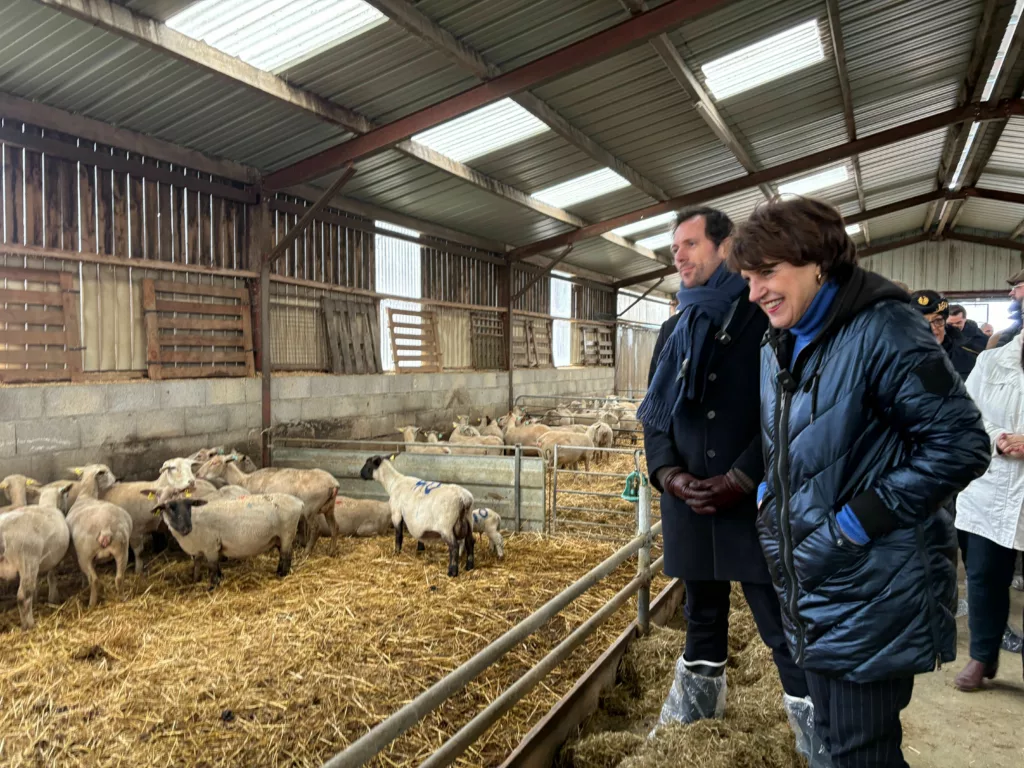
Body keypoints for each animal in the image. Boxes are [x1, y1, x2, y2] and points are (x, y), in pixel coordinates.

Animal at [0, 483, 73, 630]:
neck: (48, 505)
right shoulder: (53, 559)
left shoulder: (40, 563)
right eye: (66, 495)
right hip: (27, 560)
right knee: (23, 596)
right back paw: (29, 625)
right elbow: (52, 577)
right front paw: (53, 598)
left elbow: (38, 581)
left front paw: (37, 598)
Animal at [65, 466, 133, 608]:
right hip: (122, 550)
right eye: (106, 472)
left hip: (85, 555)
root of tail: (105, 528)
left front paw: (83, 584)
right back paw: (122, 598)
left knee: (94, 580)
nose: (117, 479)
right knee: (119, 577)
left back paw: (91, 604)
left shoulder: (76, 555)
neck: (86, 496)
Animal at [144, 490, 305, 588]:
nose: (186, 528)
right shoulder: (199, 549)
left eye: (190, 506)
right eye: (169, 508)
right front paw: (196, 580)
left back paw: (283, 575)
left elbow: (213, 568)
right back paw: (278, 572)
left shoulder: (210, 547)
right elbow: (198, 565)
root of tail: (299, 502)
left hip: (287, 533)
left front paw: (213, 586)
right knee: (282, 556)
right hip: (278, 537)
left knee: (286, 556)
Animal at [196, 456, 339, 554]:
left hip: (310, 509)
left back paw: (307, 552)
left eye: (215, 462)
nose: (197, 473)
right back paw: (331, 551)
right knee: (335, 527)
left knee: (316, 529)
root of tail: (333, 484)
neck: (243, 480)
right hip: (329, 508)